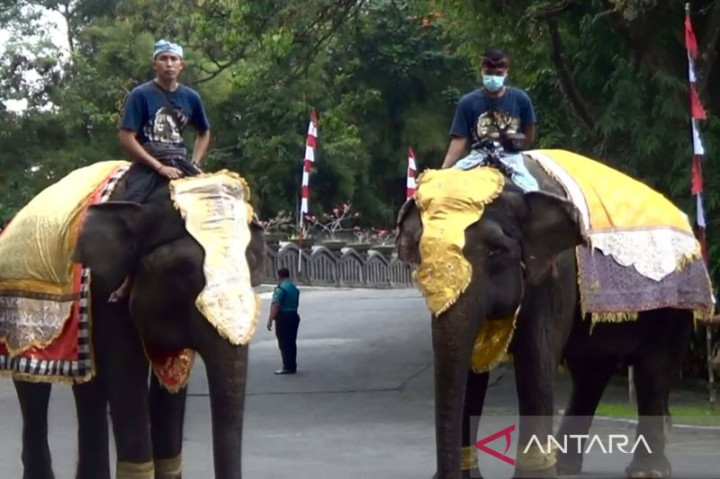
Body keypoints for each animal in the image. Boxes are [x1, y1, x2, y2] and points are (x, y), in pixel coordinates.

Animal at [11, 175, 266, 479]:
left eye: (253, 270)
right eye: (183, 272)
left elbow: (171, 384)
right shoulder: (105, 288)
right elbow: (126, 371)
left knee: (88, 389)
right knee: (32, 390)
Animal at [396, 158, 700, 479]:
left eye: (495, 251)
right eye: (421, 254)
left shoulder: (557, 271)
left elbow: (536, 352)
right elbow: (472, 365)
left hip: (676, 299)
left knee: (652, 369)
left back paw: (646, 472)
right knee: (592, 371)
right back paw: (566, 467)